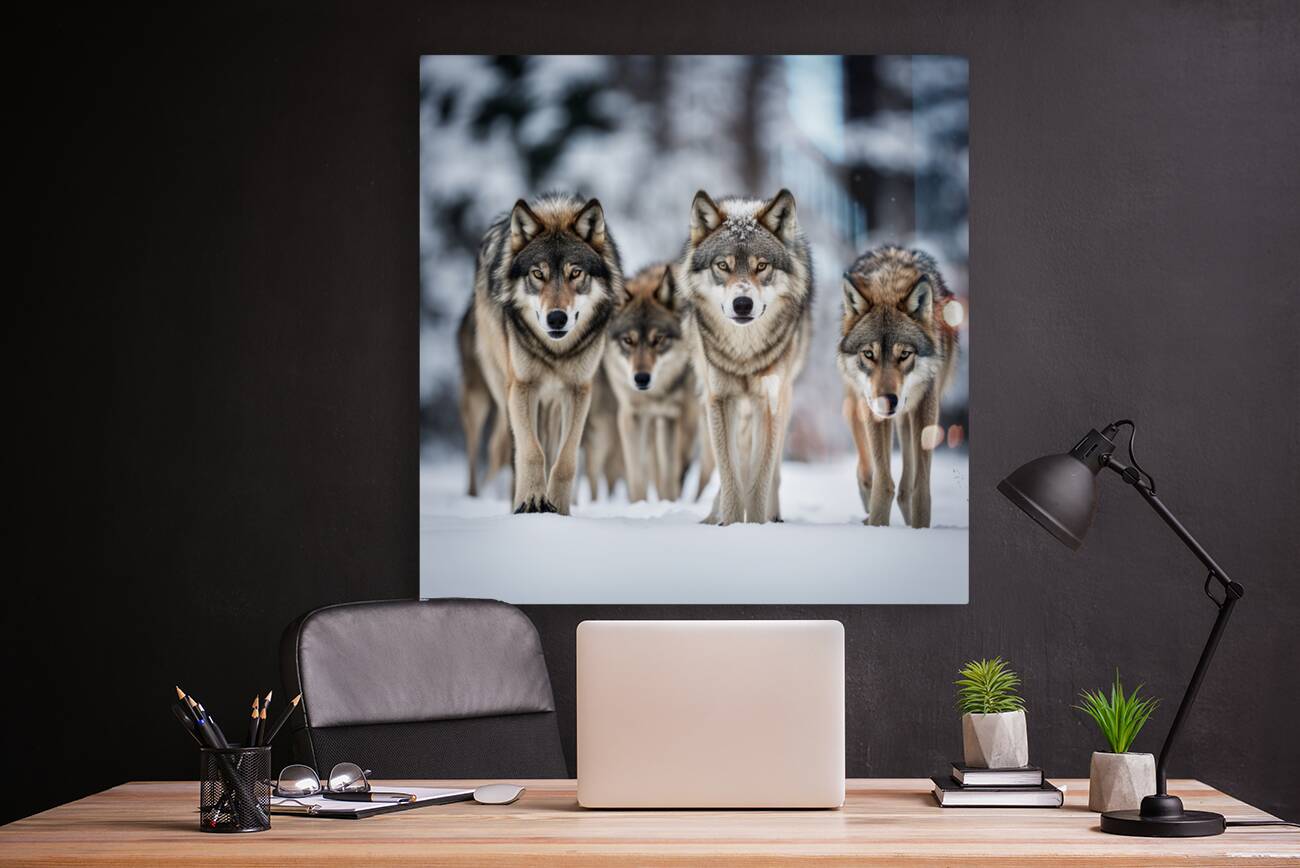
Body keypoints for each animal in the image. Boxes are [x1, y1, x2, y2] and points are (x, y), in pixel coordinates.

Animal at [465, 193, 623, 514]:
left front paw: (559, 510)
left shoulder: (578, 390)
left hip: (552, 402)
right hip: (503, 391)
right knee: (511, 447)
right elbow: (531, 452)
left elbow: (565, 460)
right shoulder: (523, 387)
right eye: (538, 274)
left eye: (575, 273)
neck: (556, 352)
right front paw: (532, 501)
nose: (557, 319)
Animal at [604, 263, 698, 502]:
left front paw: (669, 504)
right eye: (628, 340)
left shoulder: (670, 416)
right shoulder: (631, 415)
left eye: (658, 340)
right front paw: (639, 506)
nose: (641, 378)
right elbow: (637, 476)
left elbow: (669, 474)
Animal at [681, 189, 812, 524]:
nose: (742, 303)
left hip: (781, 400)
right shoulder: (719, 398)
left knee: (773, 470)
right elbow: (731, 475)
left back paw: (774, 515)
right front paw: (728, 523)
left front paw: (754, 526)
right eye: (723, 266)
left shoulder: (769, 401)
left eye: (762, 266)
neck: (744, 353)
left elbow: (759, 479)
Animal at [837, 245, 959, 528]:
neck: (888, 283)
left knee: (906, 485)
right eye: (868, 354)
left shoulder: (926, 403)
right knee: (866, 468)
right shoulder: (872, 409)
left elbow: (919, 487)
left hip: (908, 417)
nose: (887, 400)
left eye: (904, 354)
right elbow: (883, 483)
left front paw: (920, 527)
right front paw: (877, 524)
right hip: (857, 406)